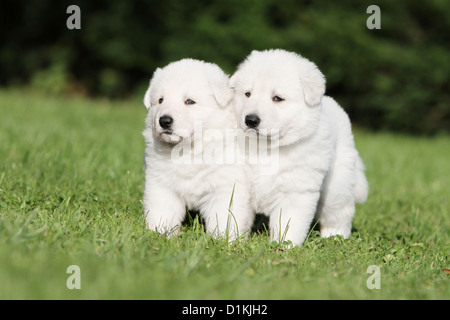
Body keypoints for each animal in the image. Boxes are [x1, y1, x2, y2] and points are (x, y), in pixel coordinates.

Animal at [142, 59, 253, 240]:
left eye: (189, 101)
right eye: (160, 100)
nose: (164, 121)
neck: (188, 149)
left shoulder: (225, 186)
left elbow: (225, 215)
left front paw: (223, 239)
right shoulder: (162, 182)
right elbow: (163, 209)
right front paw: (159, 232)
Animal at [230, 49, 368, 245]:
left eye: (278, 98)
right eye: (247, 94)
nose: (250, 120)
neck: (267, 147)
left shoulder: (295, 189)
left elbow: (289, 222)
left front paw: (283, 245)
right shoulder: (240, 182)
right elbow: (234, 213)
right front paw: (229, 240)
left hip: (337, 184)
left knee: (340, 210)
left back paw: (335, 236)